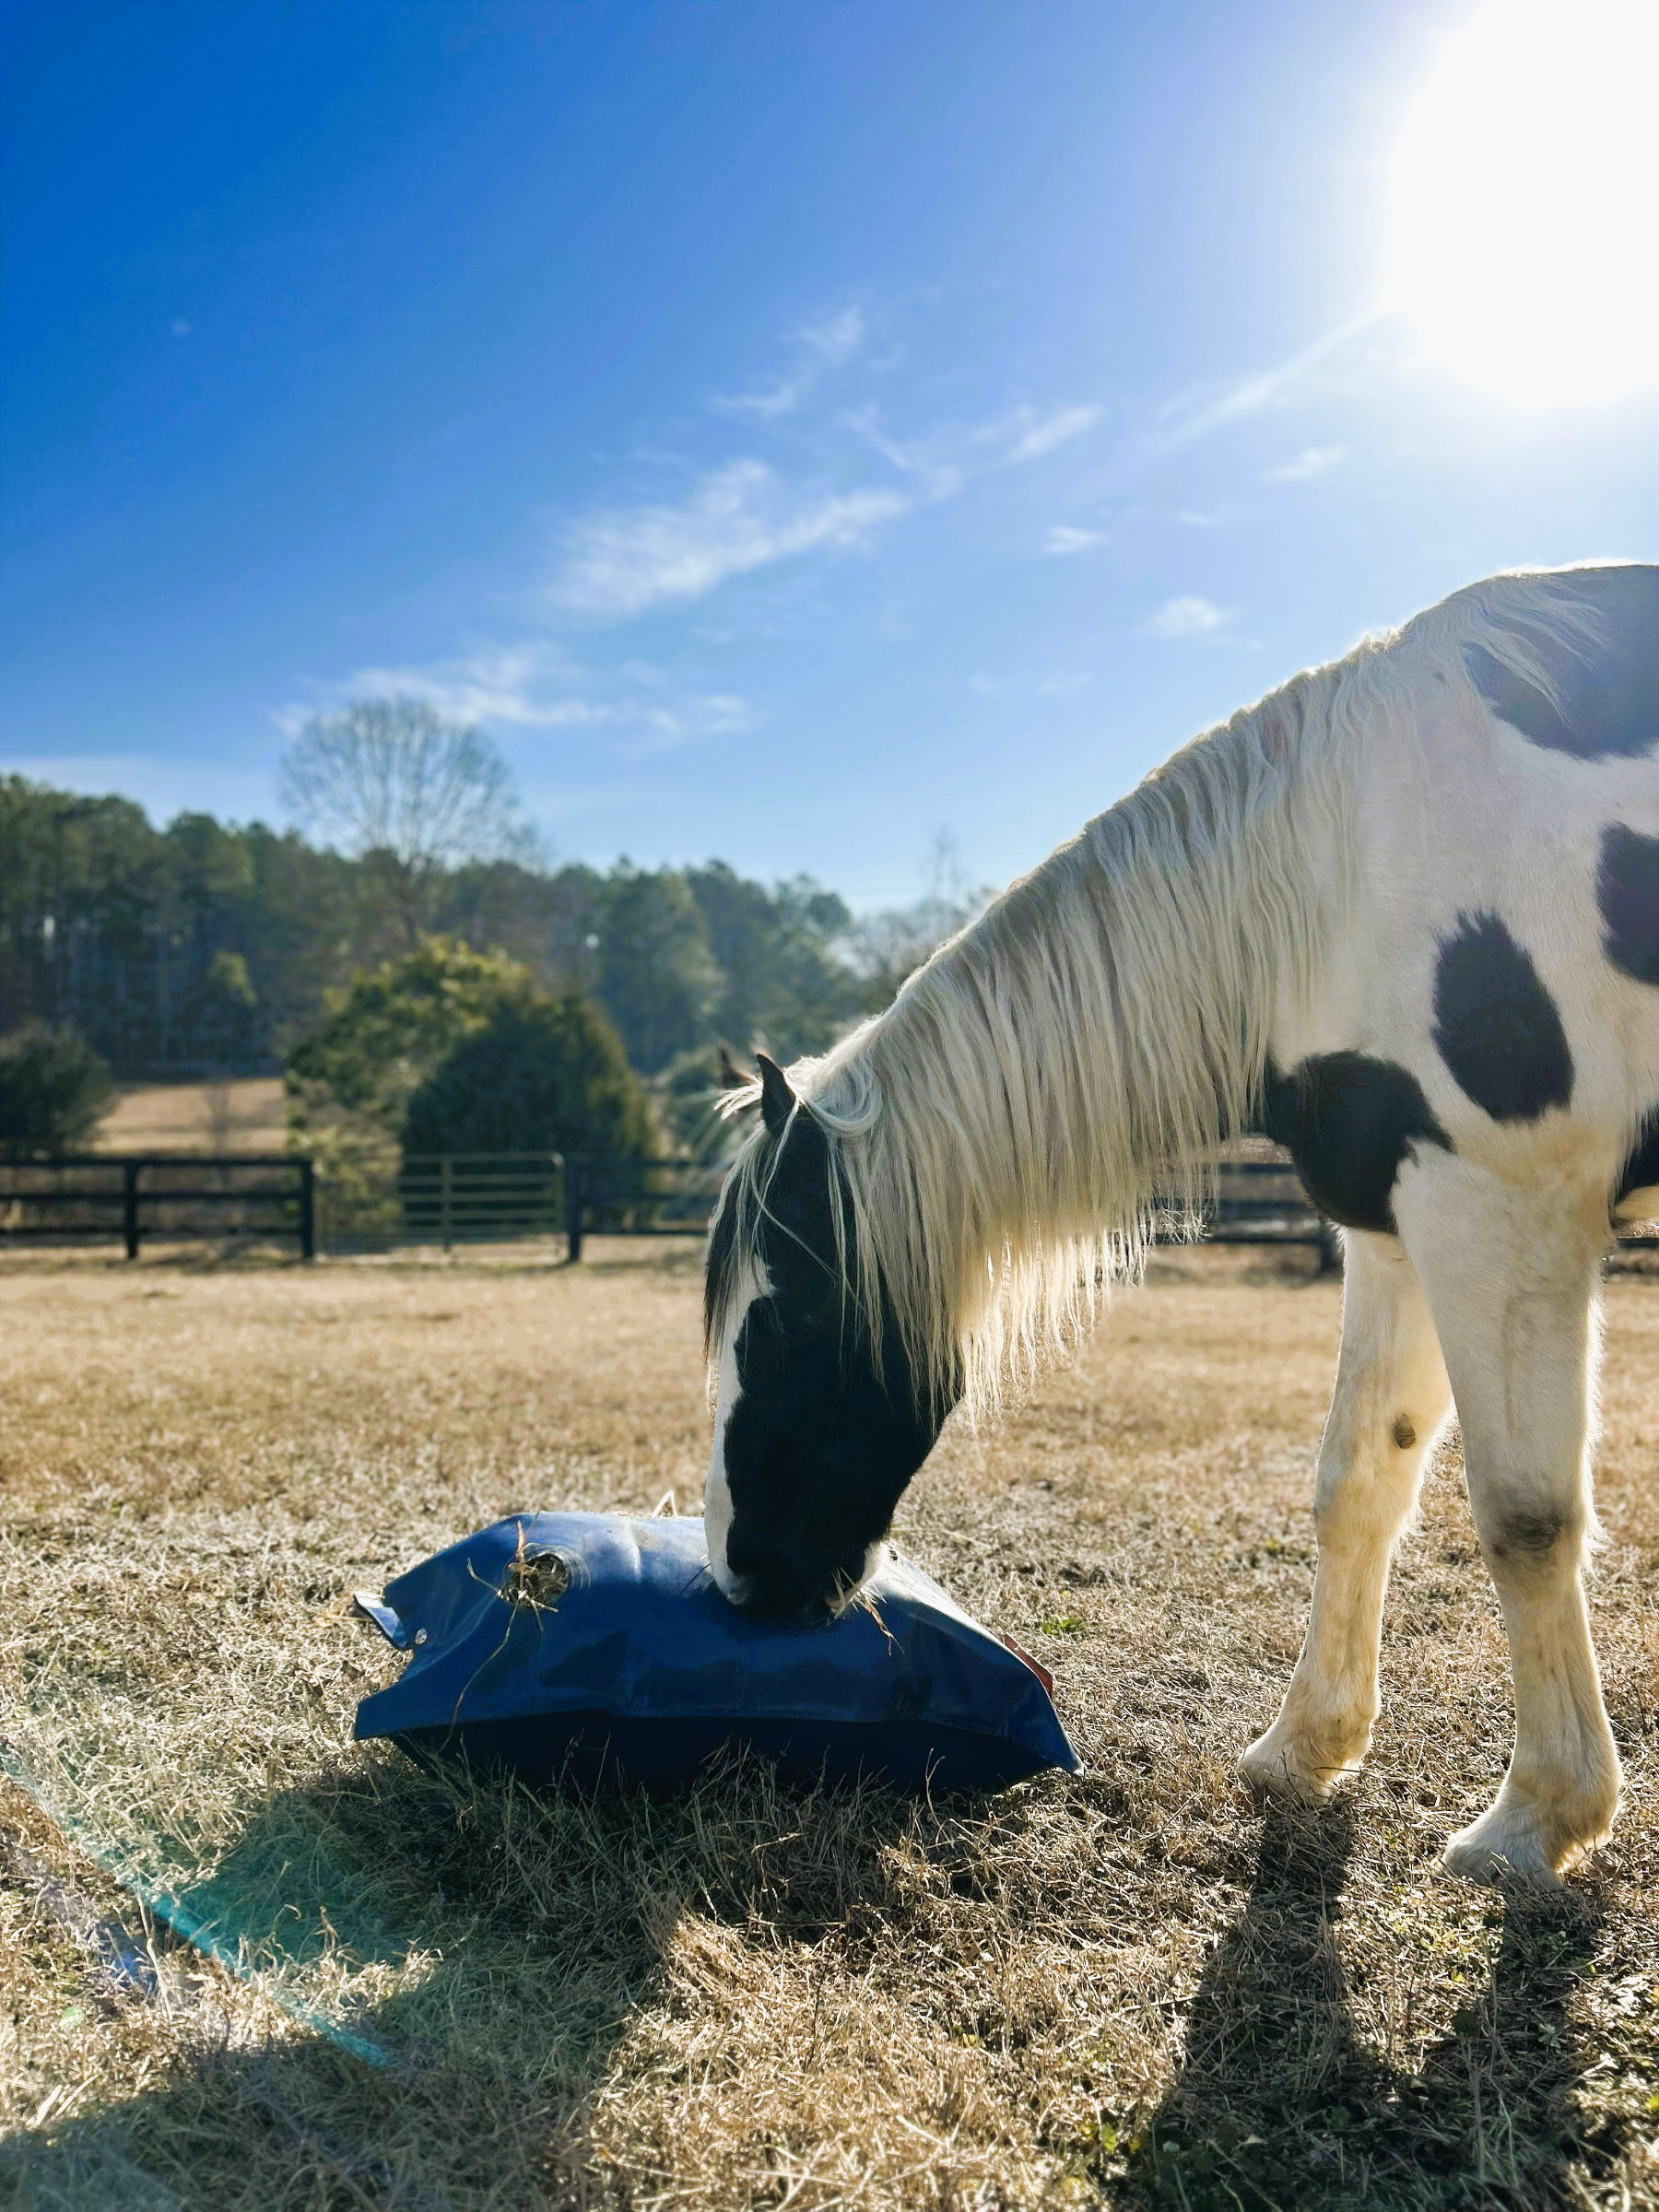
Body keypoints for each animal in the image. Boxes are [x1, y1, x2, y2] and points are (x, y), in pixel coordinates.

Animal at [702, 562, 1658, 1886]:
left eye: (783, 1327)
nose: (735, 1573)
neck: (1341, 872)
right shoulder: (1401, 1223)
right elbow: (1359, 1481)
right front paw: (1303, 1749)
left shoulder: (1499, 1210)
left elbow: (1525, 1515)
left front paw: (1536, 1819)